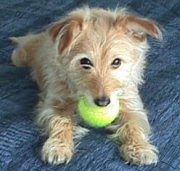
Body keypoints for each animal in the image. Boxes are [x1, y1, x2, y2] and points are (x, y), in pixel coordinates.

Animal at [10, 7, 162, 166]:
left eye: (116, 62)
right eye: (85, 62)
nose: (103, 102)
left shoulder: (131, 105)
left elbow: (133, 125)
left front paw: (139, 148)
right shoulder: (54, 105)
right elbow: (61, 121)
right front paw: (58, 146)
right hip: (20, 57)